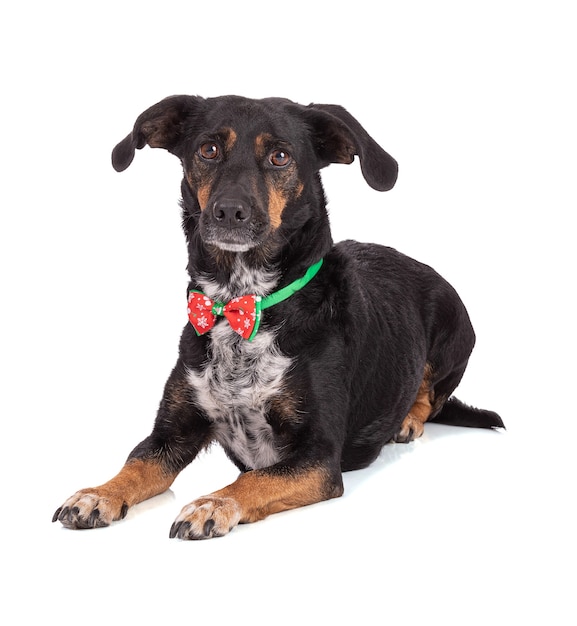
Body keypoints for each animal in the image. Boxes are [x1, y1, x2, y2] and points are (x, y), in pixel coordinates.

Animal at [55, 95, 504, 540]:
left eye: (280, 156)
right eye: (208, 149)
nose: (228, 211)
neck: (242, 302)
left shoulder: (319, 458)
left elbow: (253, 478)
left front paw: (213, 503)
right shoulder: (171, 433)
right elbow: (136, 463)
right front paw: (98, 494)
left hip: (454, 329)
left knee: (431, 396)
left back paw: (407, 420)